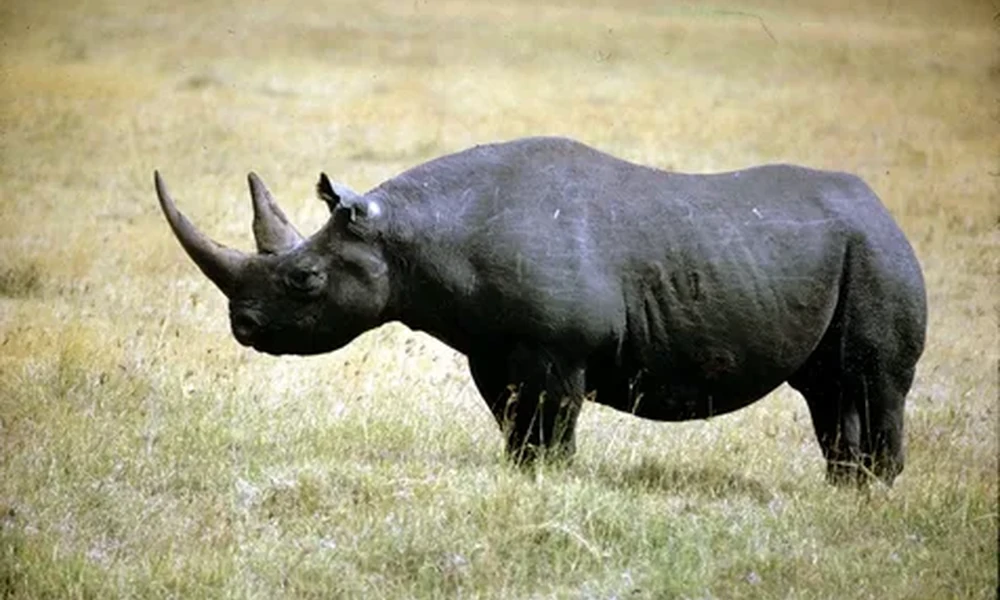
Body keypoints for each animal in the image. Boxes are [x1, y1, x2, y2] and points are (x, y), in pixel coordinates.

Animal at [155, 136, 926, 485]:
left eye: (305, 280)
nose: (243, 328)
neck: (411, 237)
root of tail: (884, 207)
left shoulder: (559, 348)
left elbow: (553, 421)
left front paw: (553, 478)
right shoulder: (494, 347)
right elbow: (517, 424)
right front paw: (524, 476)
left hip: (877, 251)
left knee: (873, 382)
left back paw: (874, 494)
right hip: (844, 249)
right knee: (827, 388)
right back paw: (843, 490)